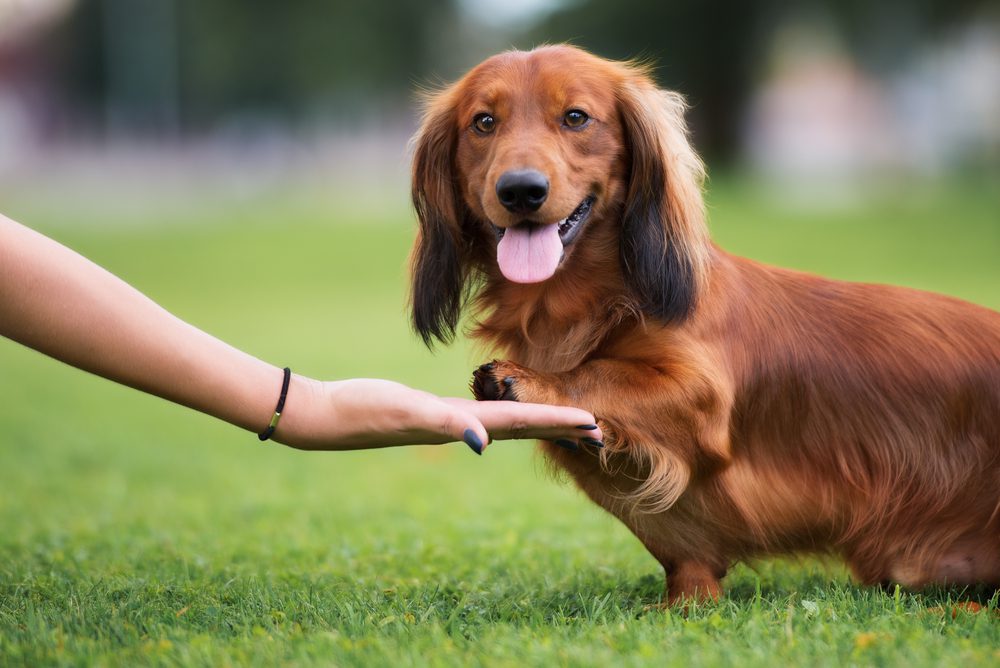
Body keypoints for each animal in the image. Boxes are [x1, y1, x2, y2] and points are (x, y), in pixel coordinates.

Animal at [406, 44, 1000, 604]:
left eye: (576, 117)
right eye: (484, 122)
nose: (520, 190)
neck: (590, 301)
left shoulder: (702, 394)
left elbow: (599, 372)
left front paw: (532, 381)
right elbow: (691, 571)